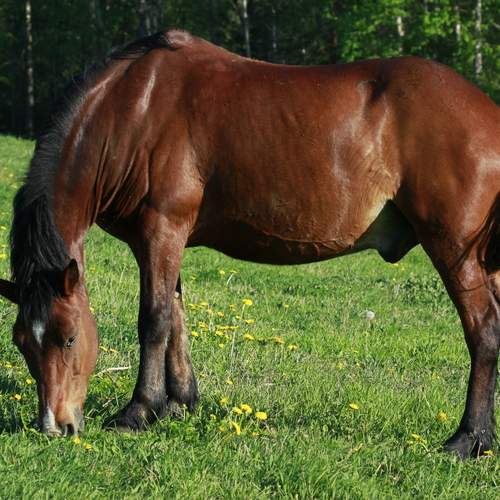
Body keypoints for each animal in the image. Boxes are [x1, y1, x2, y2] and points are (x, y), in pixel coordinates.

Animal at [0, 30, 498, 459]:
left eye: (68, 337)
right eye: (21, 341)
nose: (55, 427)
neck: (135, 110)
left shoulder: (161, 229)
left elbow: (155, 320)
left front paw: (139, 411)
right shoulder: (163, 240)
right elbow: (177, 316)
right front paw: (179, 403)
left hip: (455, 250)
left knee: (483, 331)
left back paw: (467, 438)